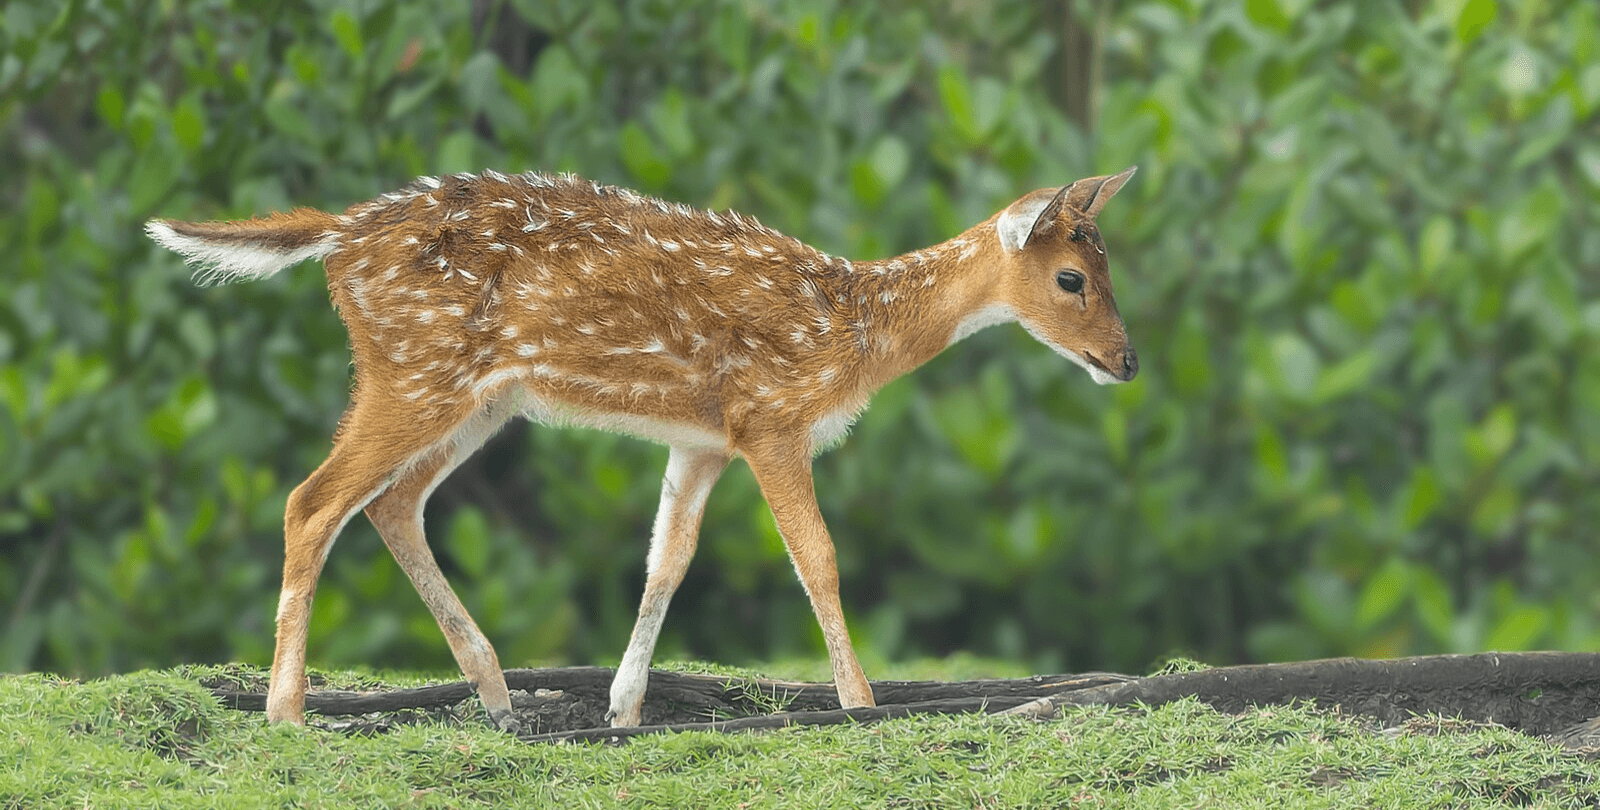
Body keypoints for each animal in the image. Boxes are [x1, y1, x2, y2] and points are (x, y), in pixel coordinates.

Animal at [144, 165, 1138, 731]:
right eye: (1071, 278)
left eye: (1108, 269)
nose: (1127, 362)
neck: (852, 333)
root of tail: (336, 236)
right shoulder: (770, 416)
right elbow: (816, 557)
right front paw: (859, 706)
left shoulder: (702, 440)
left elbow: (668, 558)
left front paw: (623, 711)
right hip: (414, 371)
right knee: (311, 499)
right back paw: (286, 713)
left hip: (479, 396)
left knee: (391, 502)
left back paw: (499, 696)